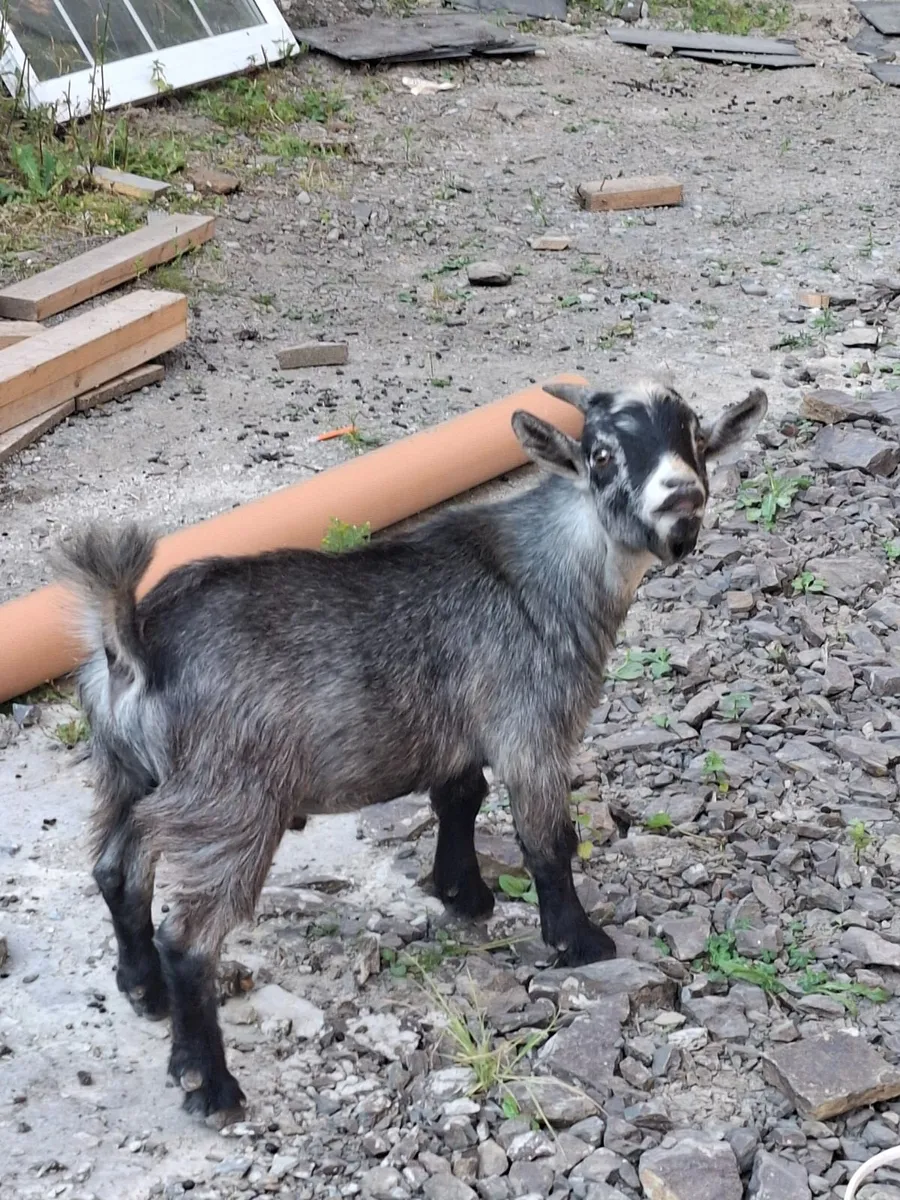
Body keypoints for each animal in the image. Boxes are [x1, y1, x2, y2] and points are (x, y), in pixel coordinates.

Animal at [56, 377, 767, 1122]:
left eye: (695, 440)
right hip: (231, 804)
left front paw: (464, 894)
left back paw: (143, 991)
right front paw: (579, 941)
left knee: (117, 871)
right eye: (601, 454)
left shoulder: (458, 733)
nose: (681, 497)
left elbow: (460, 797)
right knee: (188, 938)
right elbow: (548, 840)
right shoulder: (532, 728)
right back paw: (208, 1083)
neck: (540, 569)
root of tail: (134, 645)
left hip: (128, 776)